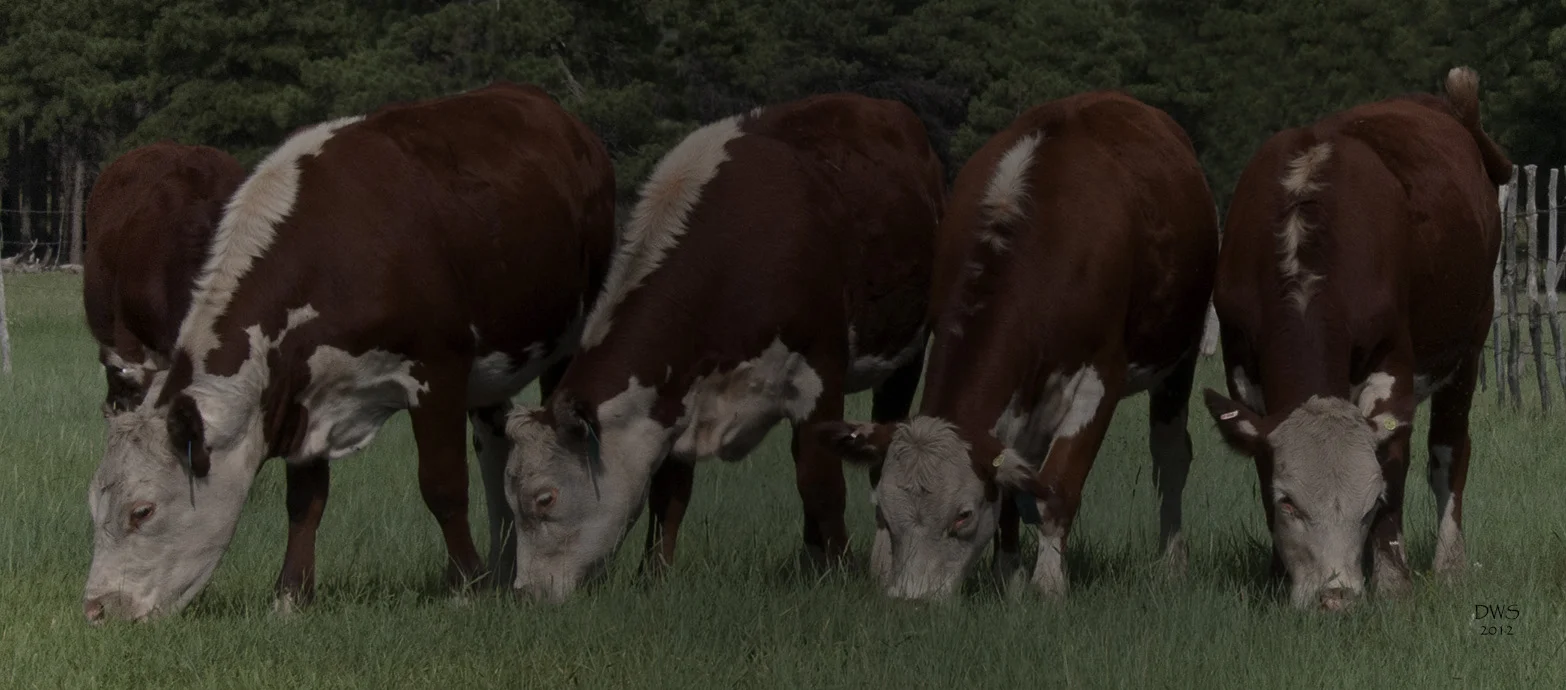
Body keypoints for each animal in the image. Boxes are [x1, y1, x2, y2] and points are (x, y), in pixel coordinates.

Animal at [502, 93, 945, 601]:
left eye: (544, 498)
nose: (525, 592)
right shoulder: (676, 397)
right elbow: (669, 493)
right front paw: (652, 576)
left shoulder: (820, 375)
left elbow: (821, 483)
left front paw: (840, 574)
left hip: (906, 355)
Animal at [812, 91, 1218, 600]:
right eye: (883, 512)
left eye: (962, 515)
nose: (911, 600)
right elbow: (1012, 484)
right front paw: (1009, 578)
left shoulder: (1099, 378)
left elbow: (1058, 486)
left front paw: (1049, 585)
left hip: (1178, 358)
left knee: (1170, 459)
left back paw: (1171, 562)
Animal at [1200, 67, 1512, 611]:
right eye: (1288, 503)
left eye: (1370, 506)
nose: (1335, 598)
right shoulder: (1241, 364)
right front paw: (1277, 575)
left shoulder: (1392, 363)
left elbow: (1396, 465)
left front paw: (1392, 581)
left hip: (1468, 349)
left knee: (1449, 451)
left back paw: (1449, 564)